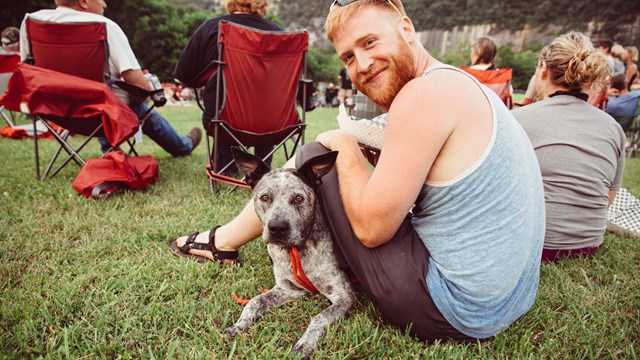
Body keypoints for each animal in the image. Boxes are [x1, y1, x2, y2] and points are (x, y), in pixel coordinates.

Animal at [224, 148, 356, 358]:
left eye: (298, 198)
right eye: (265, 197)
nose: (277, 227)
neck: (297, 250)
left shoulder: (343, 296)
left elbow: (319, 317)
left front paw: (305, 343)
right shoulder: (288, 289)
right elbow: (255, 301)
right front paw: (239, 325)